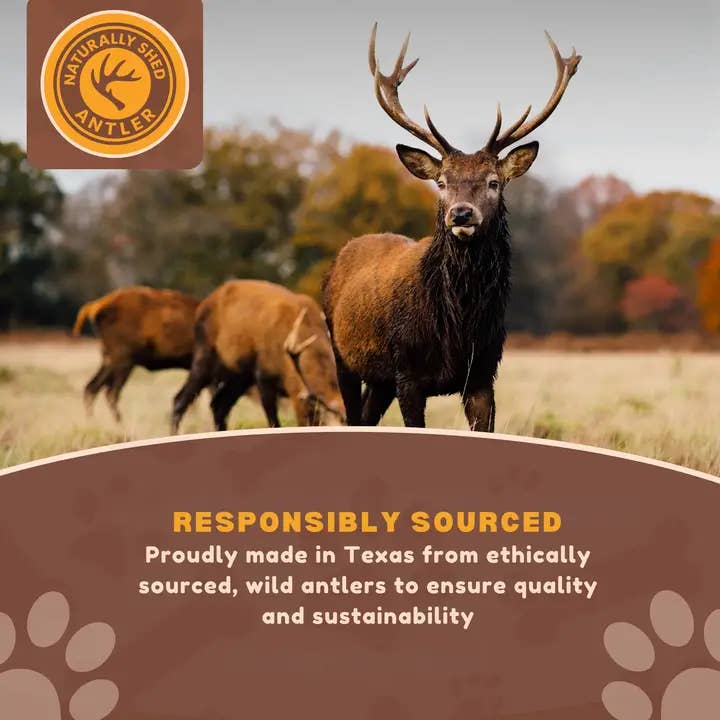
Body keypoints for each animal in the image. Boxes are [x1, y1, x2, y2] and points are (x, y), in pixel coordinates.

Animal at [323, 24, 581, 430]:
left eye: (493, 182)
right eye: (442, 182)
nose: (461, 214)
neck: (458, 329)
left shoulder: (484, 375)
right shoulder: (408, 373)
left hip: (379, 378)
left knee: (366, 415)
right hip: (341, 355)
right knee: (352, 415)